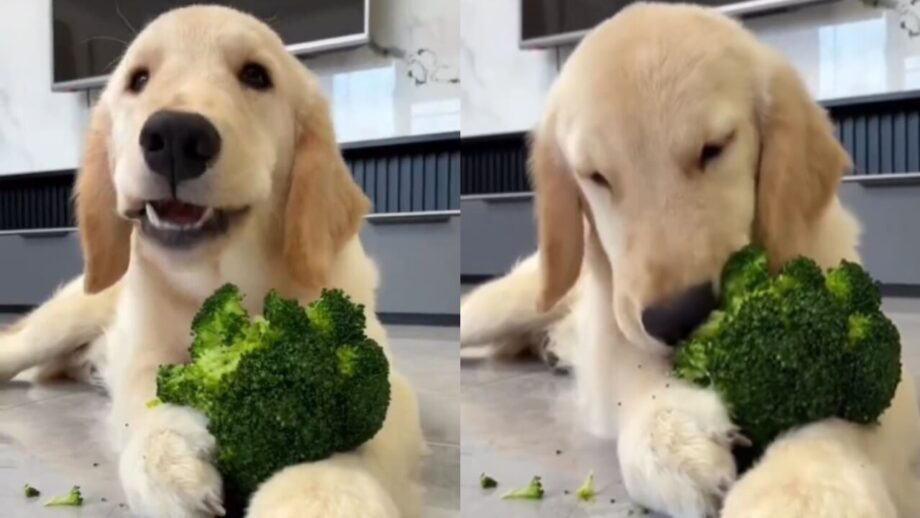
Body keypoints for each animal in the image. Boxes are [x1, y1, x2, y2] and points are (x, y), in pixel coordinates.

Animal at [0, 5, 424, 518]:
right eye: (138, 79)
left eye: (256, 75)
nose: (175, 136)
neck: (221, 280)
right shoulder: (142, 351)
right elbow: (144, 398)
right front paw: (169, 459)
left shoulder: (383, 374)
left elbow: (358, 431)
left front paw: (320, 491)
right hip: (64, 318)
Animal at [464, 4, 920, 518]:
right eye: (596, 177)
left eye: (714, 148)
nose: (676, 317)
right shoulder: (615, 331)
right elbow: (634, 376)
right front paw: (672, 434)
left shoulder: (891, 375)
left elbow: (849, 416)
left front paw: (802, 485)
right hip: (513, 302)